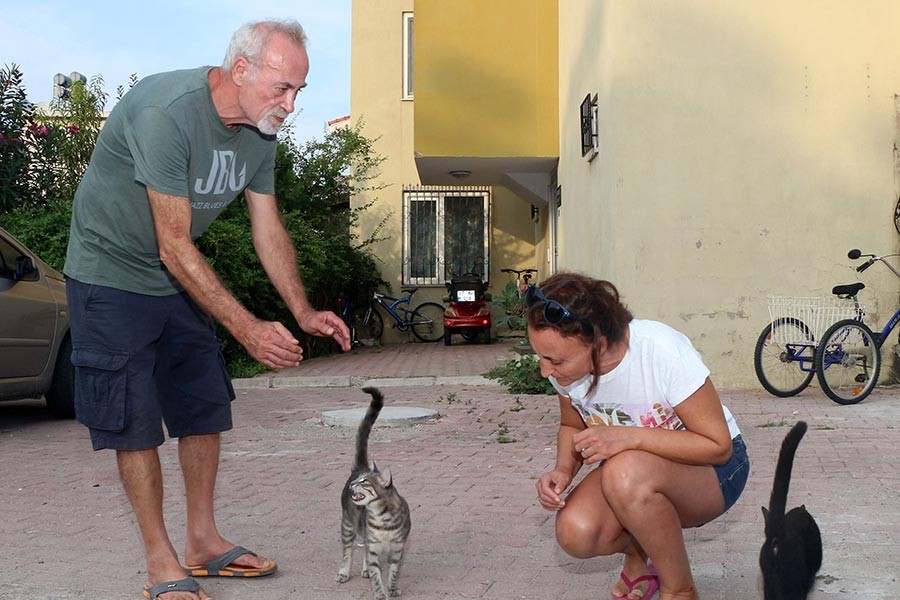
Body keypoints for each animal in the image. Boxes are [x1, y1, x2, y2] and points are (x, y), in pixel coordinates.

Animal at [338, 386, 412, 596]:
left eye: (364, 482)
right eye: (357, 481)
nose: (353, 484)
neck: (382, 518)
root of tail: (361, 466)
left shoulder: (397, 549)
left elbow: (393, 572)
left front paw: (392, 589)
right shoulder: (373, 548)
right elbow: (376, 577)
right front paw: (380, 594)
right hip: (348, 525)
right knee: (347, 552)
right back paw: (344, 572)